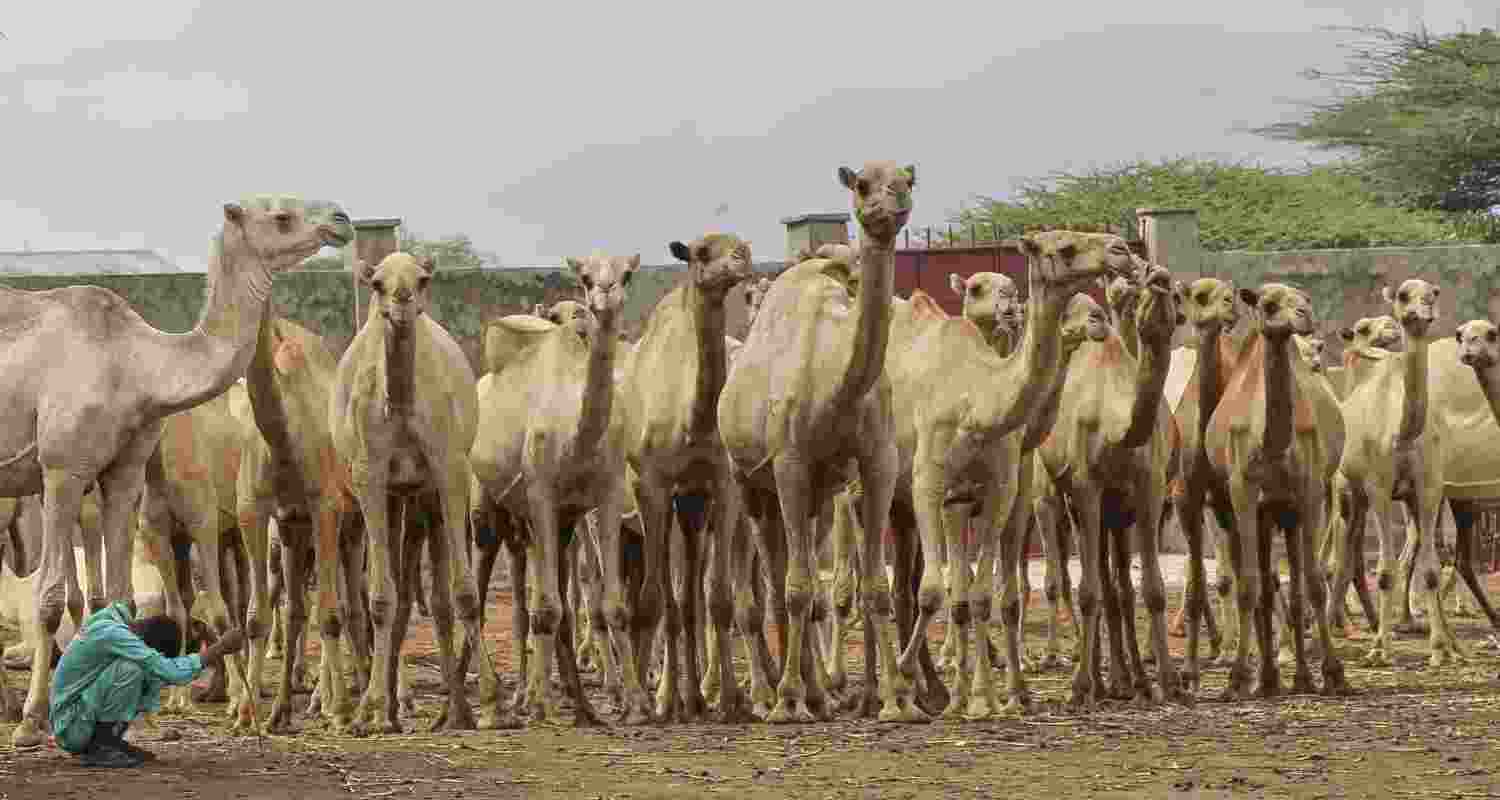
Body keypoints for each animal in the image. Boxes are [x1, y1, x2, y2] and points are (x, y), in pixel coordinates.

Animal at [0, 195, 350, 748]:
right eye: (281, 216)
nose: (341, 220)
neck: (135, 363)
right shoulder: (62, 469)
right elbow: (51, 596)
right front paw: (33, 721)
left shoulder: (124, 471)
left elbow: (119, 598)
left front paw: (137, 718)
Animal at [333, 251, 497, 735]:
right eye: (377, 284)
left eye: (423, 280)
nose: (403, 301)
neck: (402, 407)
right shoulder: (369, 476)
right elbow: (381, 598)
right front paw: (370, 708)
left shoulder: (447, 470)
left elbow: (463, 594)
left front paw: (491, 702)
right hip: (394, 496)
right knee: (399, 593)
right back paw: (388, 707)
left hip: (422, 496)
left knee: (437, 599)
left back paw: (454, 710)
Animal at [469, 254, 637, 727]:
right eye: (584, 277)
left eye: (627, 273)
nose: (603, 297)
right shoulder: (541, 492)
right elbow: (546, 608)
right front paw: (541, 705)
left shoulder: (602, 496)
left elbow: (609, 604)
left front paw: (634, 702)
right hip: (486, 511)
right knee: (481, 593)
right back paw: (499, 701)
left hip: (547, 525)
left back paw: (570, 699)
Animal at [718, 161, 915, 724]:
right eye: (862, 185)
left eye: (907, 180)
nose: (893, 206)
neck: (832, 385)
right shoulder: (788, 463)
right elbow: (797, 588)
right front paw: (787, 703)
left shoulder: (877, 462)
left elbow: (875, 588)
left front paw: (898, 700)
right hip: (749, 486)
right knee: (776, 579)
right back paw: (784, 695)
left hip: (817, 498)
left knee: (795, 567)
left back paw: (817, 692)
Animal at [1207, 282, 1347, 698]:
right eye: (1269, 305)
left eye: (1306, 299)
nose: (1305, 316)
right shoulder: (1242, 493)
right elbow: (1249, 586)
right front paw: (1237, 678)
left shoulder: (1309, 491)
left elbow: (1315, 584)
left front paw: (1334, 674)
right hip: (1265, 512)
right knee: (1267, 587)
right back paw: (1268, 678)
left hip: (1287, 511)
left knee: (1296, 588)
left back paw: (1299, 677)